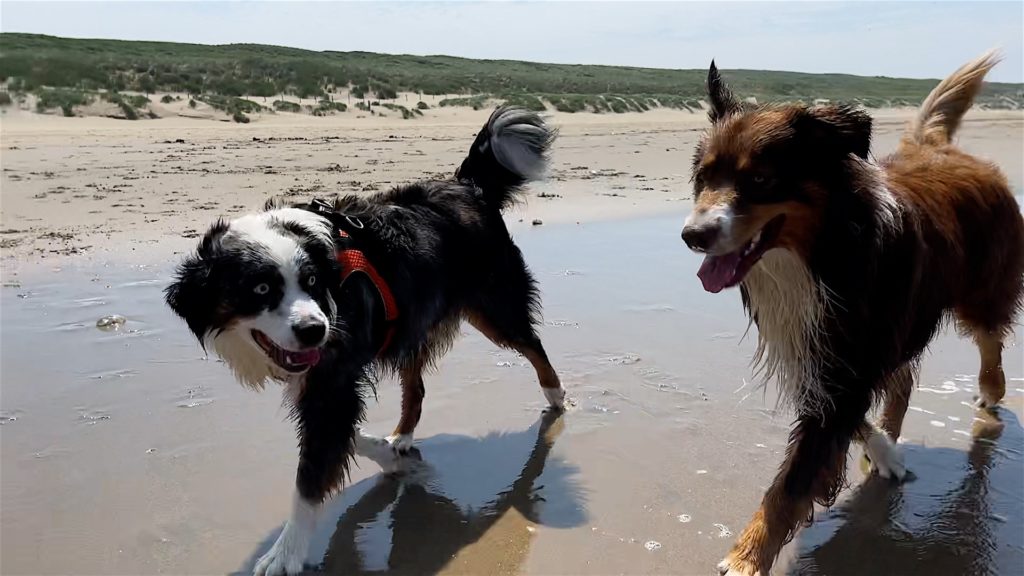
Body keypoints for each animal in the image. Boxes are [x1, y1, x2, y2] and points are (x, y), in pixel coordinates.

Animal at [167, 105, 569, 569]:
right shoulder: (321, 381)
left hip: (493, 308)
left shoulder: (333, 380)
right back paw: (402, 437)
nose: (315, 330)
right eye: (261, 289)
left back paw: (556, 396)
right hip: (414, 322)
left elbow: (309, 478)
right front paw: (384, 452)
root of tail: (468, 186)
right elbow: (343, 437)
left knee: (533, 346)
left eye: (311, 282)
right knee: (417, 389)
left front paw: (286, 553)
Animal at [679, 51, 1024, 569]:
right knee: (902, 379)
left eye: (760, 180)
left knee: (989, 339)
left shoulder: (848, 356)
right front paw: (884, 450)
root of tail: (943, 149)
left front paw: (745, 560)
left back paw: (990, 390)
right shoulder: (813, 353)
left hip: (978, 291)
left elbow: (791, 483)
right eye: (704, 178)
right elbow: (848, 417)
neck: (822, 253)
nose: (693, 236)